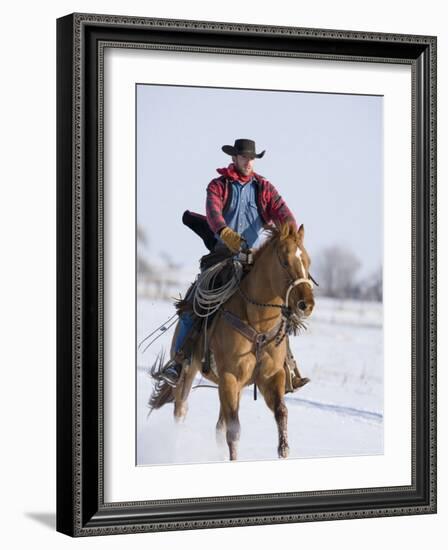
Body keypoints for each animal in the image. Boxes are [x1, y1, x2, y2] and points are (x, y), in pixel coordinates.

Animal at [149, 224, 314, 462]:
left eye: (307, 262)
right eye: (284, 261)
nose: (306, 305)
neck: (257, 324)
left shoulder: (271, 377)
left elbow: (281, 412)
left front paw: (283, 450)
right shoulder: (229, 377)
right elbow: (234, 431)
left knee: (219, 425)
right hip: (189, 373)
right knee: (181, 411)